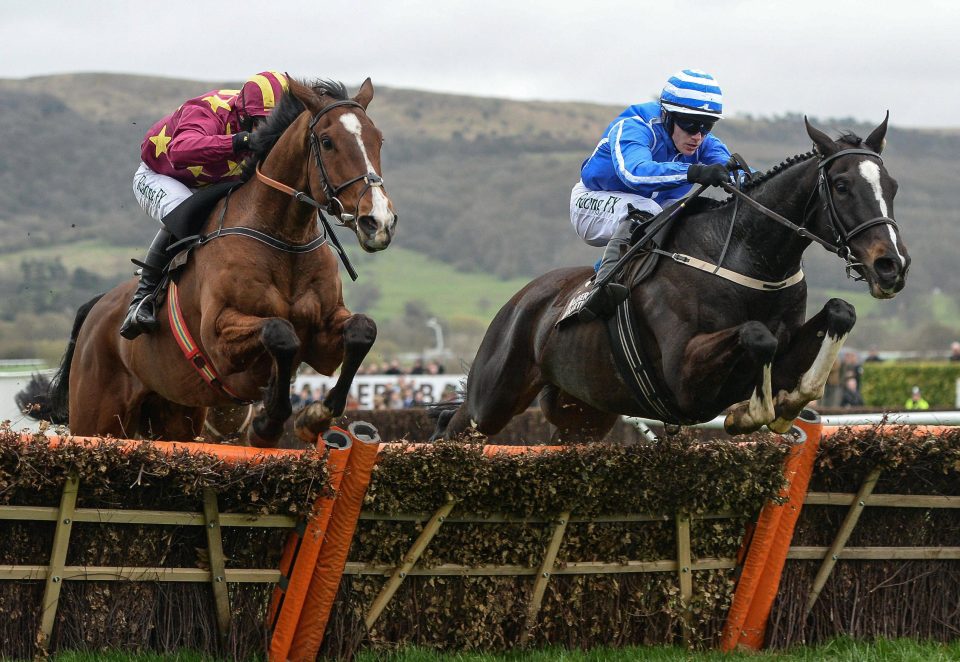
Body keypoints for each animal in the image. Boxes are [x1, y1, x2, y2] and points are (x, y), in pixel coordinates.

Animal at [30, 79, 398, 452]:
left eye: (378, 139)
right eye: (327, 142)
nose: (378, 222)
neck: (285, 240)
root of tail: (96, 309)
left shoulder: (323, 337)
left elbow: (362, 330)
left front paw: (317, 415)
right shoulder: (219, 339)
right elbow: (280, 332)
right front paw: (267, 424)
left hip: (174, 414)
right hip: (95, 418)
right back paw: (139, 312)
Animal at [436, 116, 908, 444]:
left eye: (893, 185)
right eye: (842, 185)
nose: (892, 265)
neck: (747, 257)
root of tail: (523, 298)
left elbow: (839, 314)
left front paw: (788, 402)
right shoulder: (682, 375)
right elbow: (758, 335)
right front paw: (751, 412)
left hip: (584, 413)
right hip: (491, 398)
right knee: (456, 427)